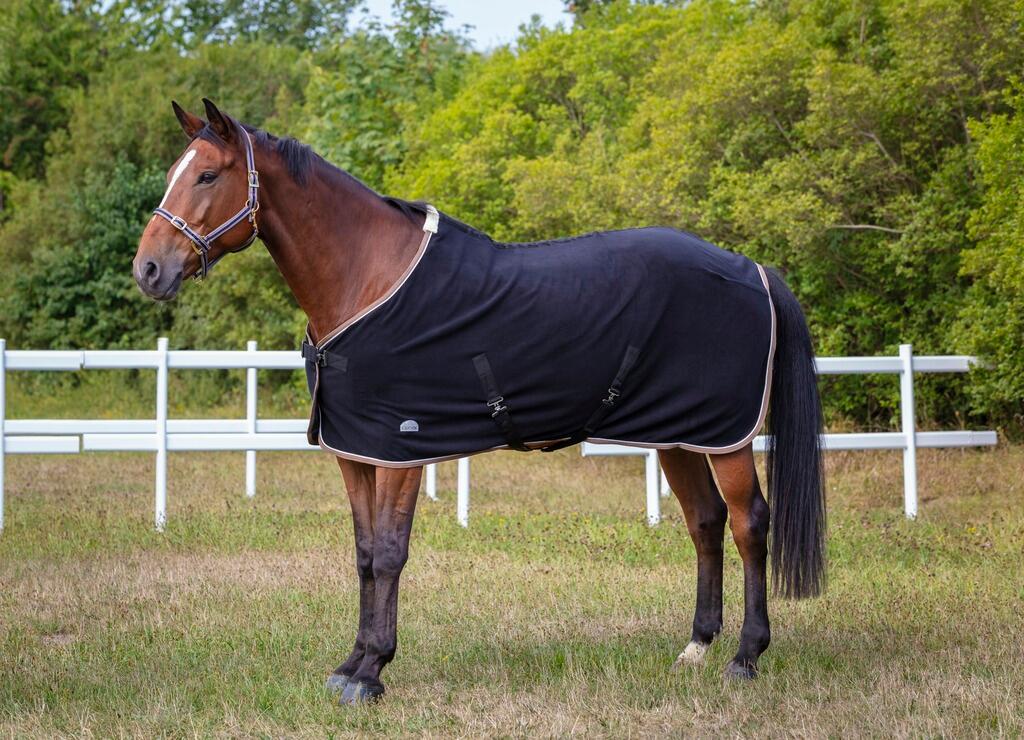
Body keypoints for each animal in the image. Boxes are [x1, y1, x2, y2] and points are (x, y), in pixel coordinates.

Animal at [132, 99, 826, 705]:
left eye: (207, 174)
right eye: (174, 174)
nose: (148, 270)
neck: (368, 280)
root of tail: (752, 268)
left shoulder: (400, 452)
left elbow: (390, 554)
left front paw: (372, 673)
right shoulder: (354, 453)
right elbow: (363, 556)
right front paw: (349, 665)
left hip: (726, 436)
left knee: (748, 523)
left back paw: (745, 657)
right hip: (679, 433)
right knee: (705, 521)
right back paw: (695, 649)